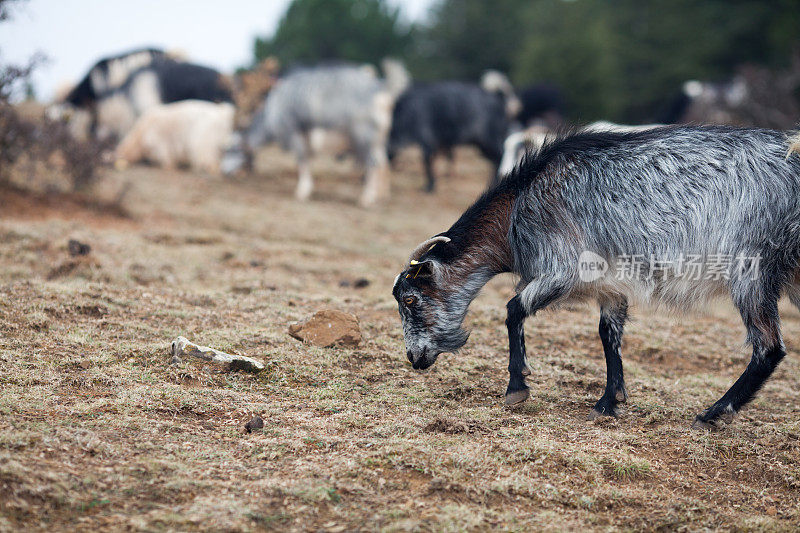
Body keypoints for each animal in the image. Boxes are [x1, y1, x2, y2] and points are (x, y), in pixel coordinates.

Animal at [394, 124, 800, 428]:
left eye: (410, 299)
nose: (414, 358)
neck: (518, 205)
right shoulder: (610, 283)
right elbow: (609, 333)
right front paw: (610, 401)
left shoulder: (561, 268)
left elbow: (513, 310)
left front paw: (516, 387)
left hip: (751, 269)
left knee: (768, 347)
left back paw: (713, 414)